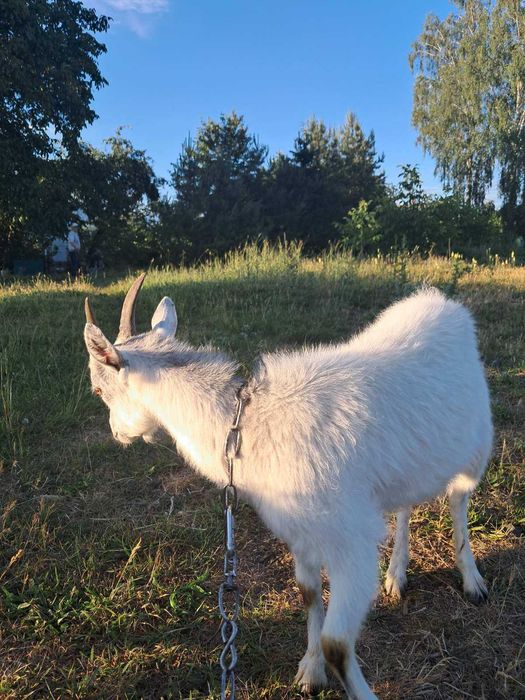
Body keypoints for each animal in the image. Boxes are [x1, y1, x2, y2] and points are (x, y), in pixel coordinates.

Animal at [83, 274, 492, 699]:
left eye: (98, 389)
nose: (116, 433)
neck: (248, 425)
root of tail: (441, 302)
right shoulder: (301, 533)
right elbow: (308, 595)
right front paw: (310, 673)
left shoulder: (350, 541)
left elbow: (336, 644)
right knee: (405, 505)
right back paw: (397, 575)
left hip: (477, 445)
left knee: (458, 501)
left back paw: (472, 580)